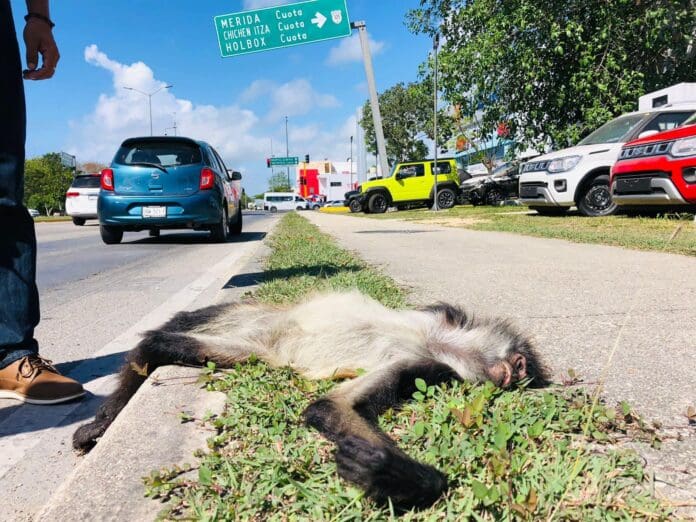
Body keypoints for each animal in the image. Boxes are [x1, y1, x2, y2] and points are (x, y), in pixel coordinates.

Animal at [73, 291, 550, 511]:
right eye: (522, 364)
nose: (515, 375)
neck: (441, 344)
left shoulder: (425, 365)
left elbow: (328, 408)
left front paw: (388, 474)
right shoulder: (442, 317)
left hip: (249, 349)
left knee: (160, 346)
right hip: (246, 314)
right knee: (165, 335)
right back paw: (104, 420)